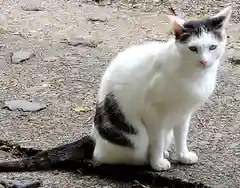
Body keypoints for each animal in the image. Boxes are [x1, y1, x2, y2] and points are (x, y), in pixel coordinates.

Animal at [0, 5, 231, 172]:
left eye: (212, 47)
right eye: (193, 48)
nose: (204, 62)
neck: (192, 76)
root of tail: (94, 136)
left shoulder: (183, 113)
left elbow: (182, 136)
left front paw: (182, 156)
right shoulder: (153, 113)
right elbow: (156, 140)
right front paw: (157, 162)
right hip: (135, 138)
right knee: (113, 155)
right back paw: (149, 158)